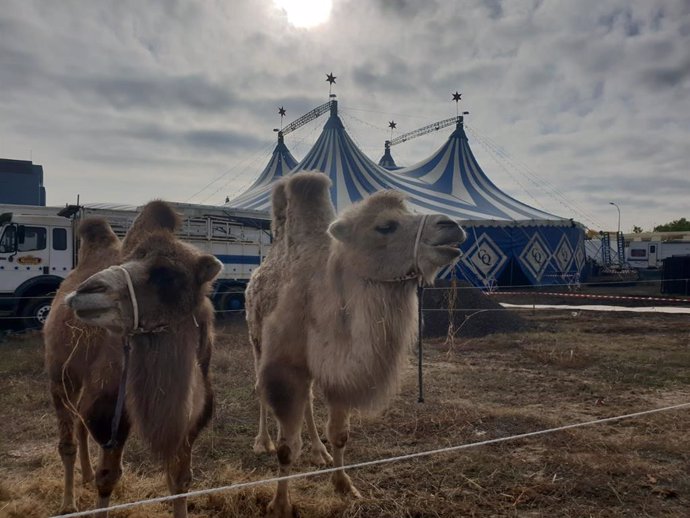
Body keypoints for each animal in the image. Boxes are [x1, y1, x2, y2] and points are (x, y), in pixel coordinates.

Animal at [44, 201, 220, 516]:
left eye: (169, 275)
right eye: (127, 259)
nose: (86, 291)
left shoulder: (188, 422)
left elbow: (180, 479)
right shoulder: (108, 411)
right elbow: (108, 478)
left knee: (79, 424)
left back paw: (84, 476)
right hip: (60, 372)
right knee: (68, 439)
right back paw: (68, 503)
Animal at [250, 173, 464, 516]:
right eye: (385, 226)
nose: (452, 225)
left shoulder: (340, 370)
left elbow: (340, 435)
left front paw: (344, 486)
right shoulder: (284, 368)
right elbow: (286, 448)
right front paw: (280, 504)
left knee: (308, 399)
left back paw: (318, 452)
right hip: (255, 339)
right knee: (260, 390)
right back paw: (262, 442)